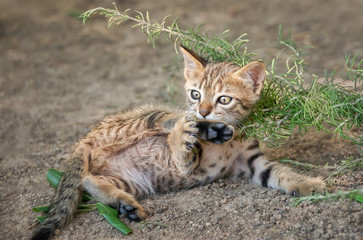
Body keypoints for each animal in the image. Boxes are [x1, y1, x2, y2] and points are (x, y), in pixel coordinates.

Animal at [31, 46, 328, 239]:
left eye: (224, 99)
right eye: (195, 94)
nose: (204, 111)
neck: (232, 138)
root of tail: (84, 141)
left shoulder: (252, 161)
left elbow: (281, 173)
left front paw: (308, 183)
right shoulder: (191, 161)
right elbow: (184, 154)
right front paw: (201, 134)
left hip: (129, 181)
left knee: (88, 181)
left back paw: (124, 204)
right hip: (143, 118)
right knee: (169, 122)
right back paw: (200, 130)